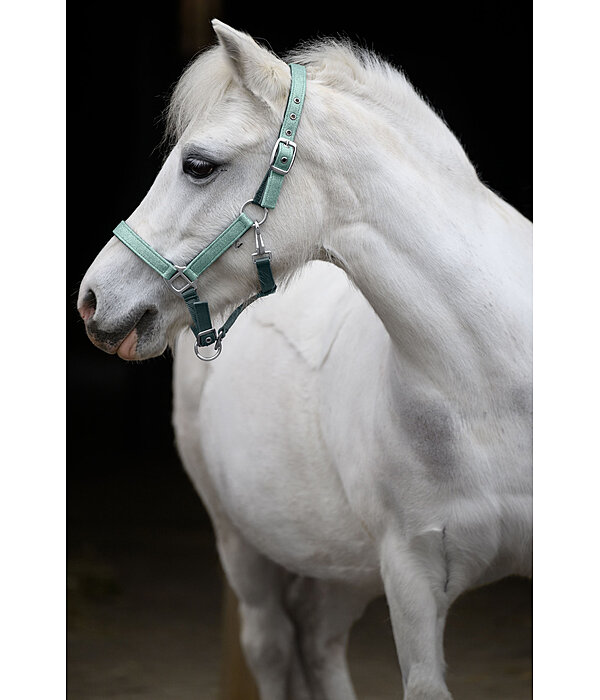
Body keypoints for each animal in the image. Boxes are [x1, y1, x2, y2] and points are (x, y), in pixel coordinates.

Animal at [78, 20, 532, 700]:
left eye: (198, 165)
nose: (92, 299)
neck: (488, 390)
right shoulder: (412, 578)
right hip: (242, 542)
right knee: (271, 644)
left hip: (343, 564)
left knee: (319, 638)